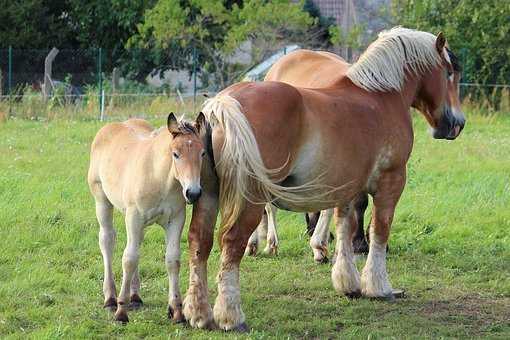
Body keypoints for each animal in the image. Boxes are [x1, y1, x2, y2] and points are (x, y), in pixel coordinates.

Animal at [87, 113, 207, 322]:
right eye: (176, 154)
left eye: (202, 153)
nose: (193, 193)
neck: (159, 177)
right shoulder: (134, 217)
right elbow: (129, 259)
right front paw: (121, 311)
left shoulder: (176, 220)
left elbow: (172, 260)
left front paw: (176, 310)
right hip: (102, 202)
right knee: (107, 240)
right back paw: (110, 298)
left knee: (137, 245)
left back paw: (135, 296)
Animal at [183, 27, 466, 330]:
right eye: (449, 72)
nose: (457, 124)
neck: (380, 97)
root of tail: (223, 103)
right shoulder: (391, 182)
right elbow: (379, 229)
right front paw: (379, 287)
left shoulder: (347, 186)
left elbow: (344, 227)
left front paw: (348, 282)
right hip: (250, 198)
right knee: (232, 243)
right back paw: (231, 315)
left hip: (208, 194)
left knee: (199, 242)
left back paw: (198, 313)